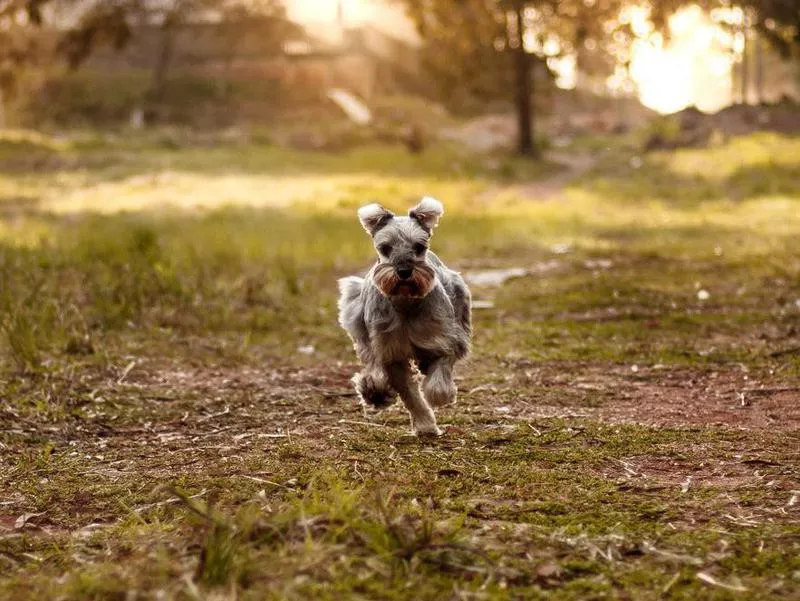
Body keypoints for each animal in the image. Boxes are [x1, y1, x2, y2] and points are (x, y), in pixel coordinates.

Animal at [336, 199, 472, 434]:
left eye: (419, 247)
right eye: (385, 248)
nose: (404, 271)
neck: (405, 302)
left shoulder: (443, 339)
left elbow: (439, 378)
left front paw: (439, 396)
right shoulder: (391, 353)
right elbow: (410, 395)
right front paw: (425, 424)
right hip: (357, 322)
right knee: (371, 361)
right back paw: (374, 390)